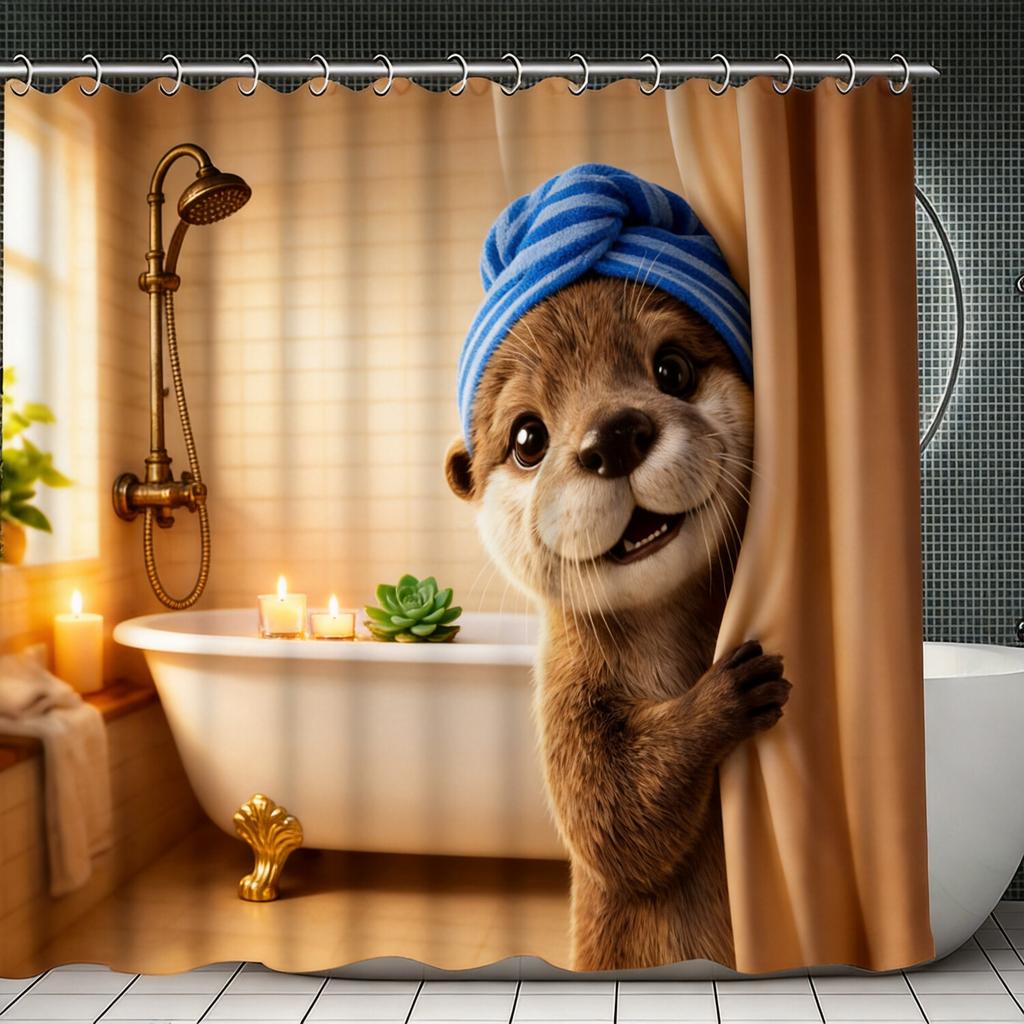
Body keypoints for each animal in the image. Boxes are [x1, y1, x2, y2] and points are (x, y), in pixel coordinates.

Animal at [445, 275, 791, 971]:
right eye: (527, 439)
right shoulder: (561, 695)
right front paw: (730, 694)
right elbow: (610, 818)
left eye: (673, 369)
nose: (614, 435)